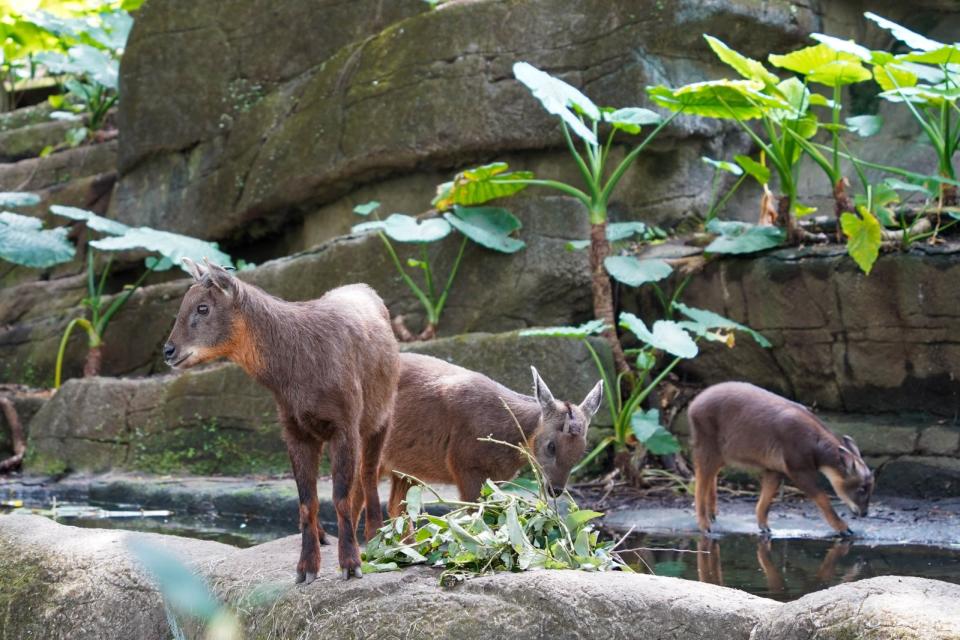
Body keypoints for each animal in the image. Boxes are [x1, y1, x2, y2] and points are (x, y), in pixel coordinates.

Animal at [165, 258, 398, 584]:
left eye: (202, 307)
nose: (169, 351)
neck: (295, 368)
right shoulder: (295, 430)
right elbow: (307, 502)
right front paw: (306, 569)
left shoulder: (345, 425)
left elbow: (339, 496)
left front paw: (351, 565)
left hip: (381, 417)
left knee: (368, 474)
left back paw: (375, 536)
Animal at [374, 352, 604, 516]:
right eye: (551, 446)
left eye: (582, 452)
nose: (555, 489)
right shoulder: (465, 465)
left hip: (406, 468)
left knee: (397, 509)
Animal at [688, 382, 872, 536]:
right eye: (862, 488)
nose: (864, 513)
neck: (815, 446)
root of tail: (693, 405)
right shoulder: (797, 469)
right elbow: (822, 497)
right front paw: (844, 528)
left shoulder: (774, 469)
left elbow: (766, 500)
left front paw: (765, 527)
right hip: (707, 448)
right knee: (700, 481)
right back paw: (704, 525)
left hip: (721, 454)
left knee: (711, 476)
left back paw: (712, 514)